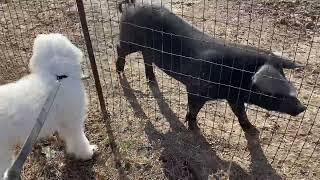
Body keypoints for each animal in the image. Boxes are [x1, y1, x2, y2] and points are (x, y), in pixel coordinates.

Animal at [116, 0, 306, 134]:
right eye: (276, 93)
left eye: (285, 76)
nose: (303, 107)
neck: (237, 78)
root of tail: (131, 5)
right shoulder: (196, 88)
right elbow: (194, 108)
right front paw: (194, 128)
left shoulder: (234, 97)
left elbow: (240, 113)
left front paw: (253, 130)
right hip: (129, 39)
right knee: (120, 48)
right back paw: (119, 70)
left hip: (146, 48)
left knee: (147, 59)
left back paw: (152, 81)